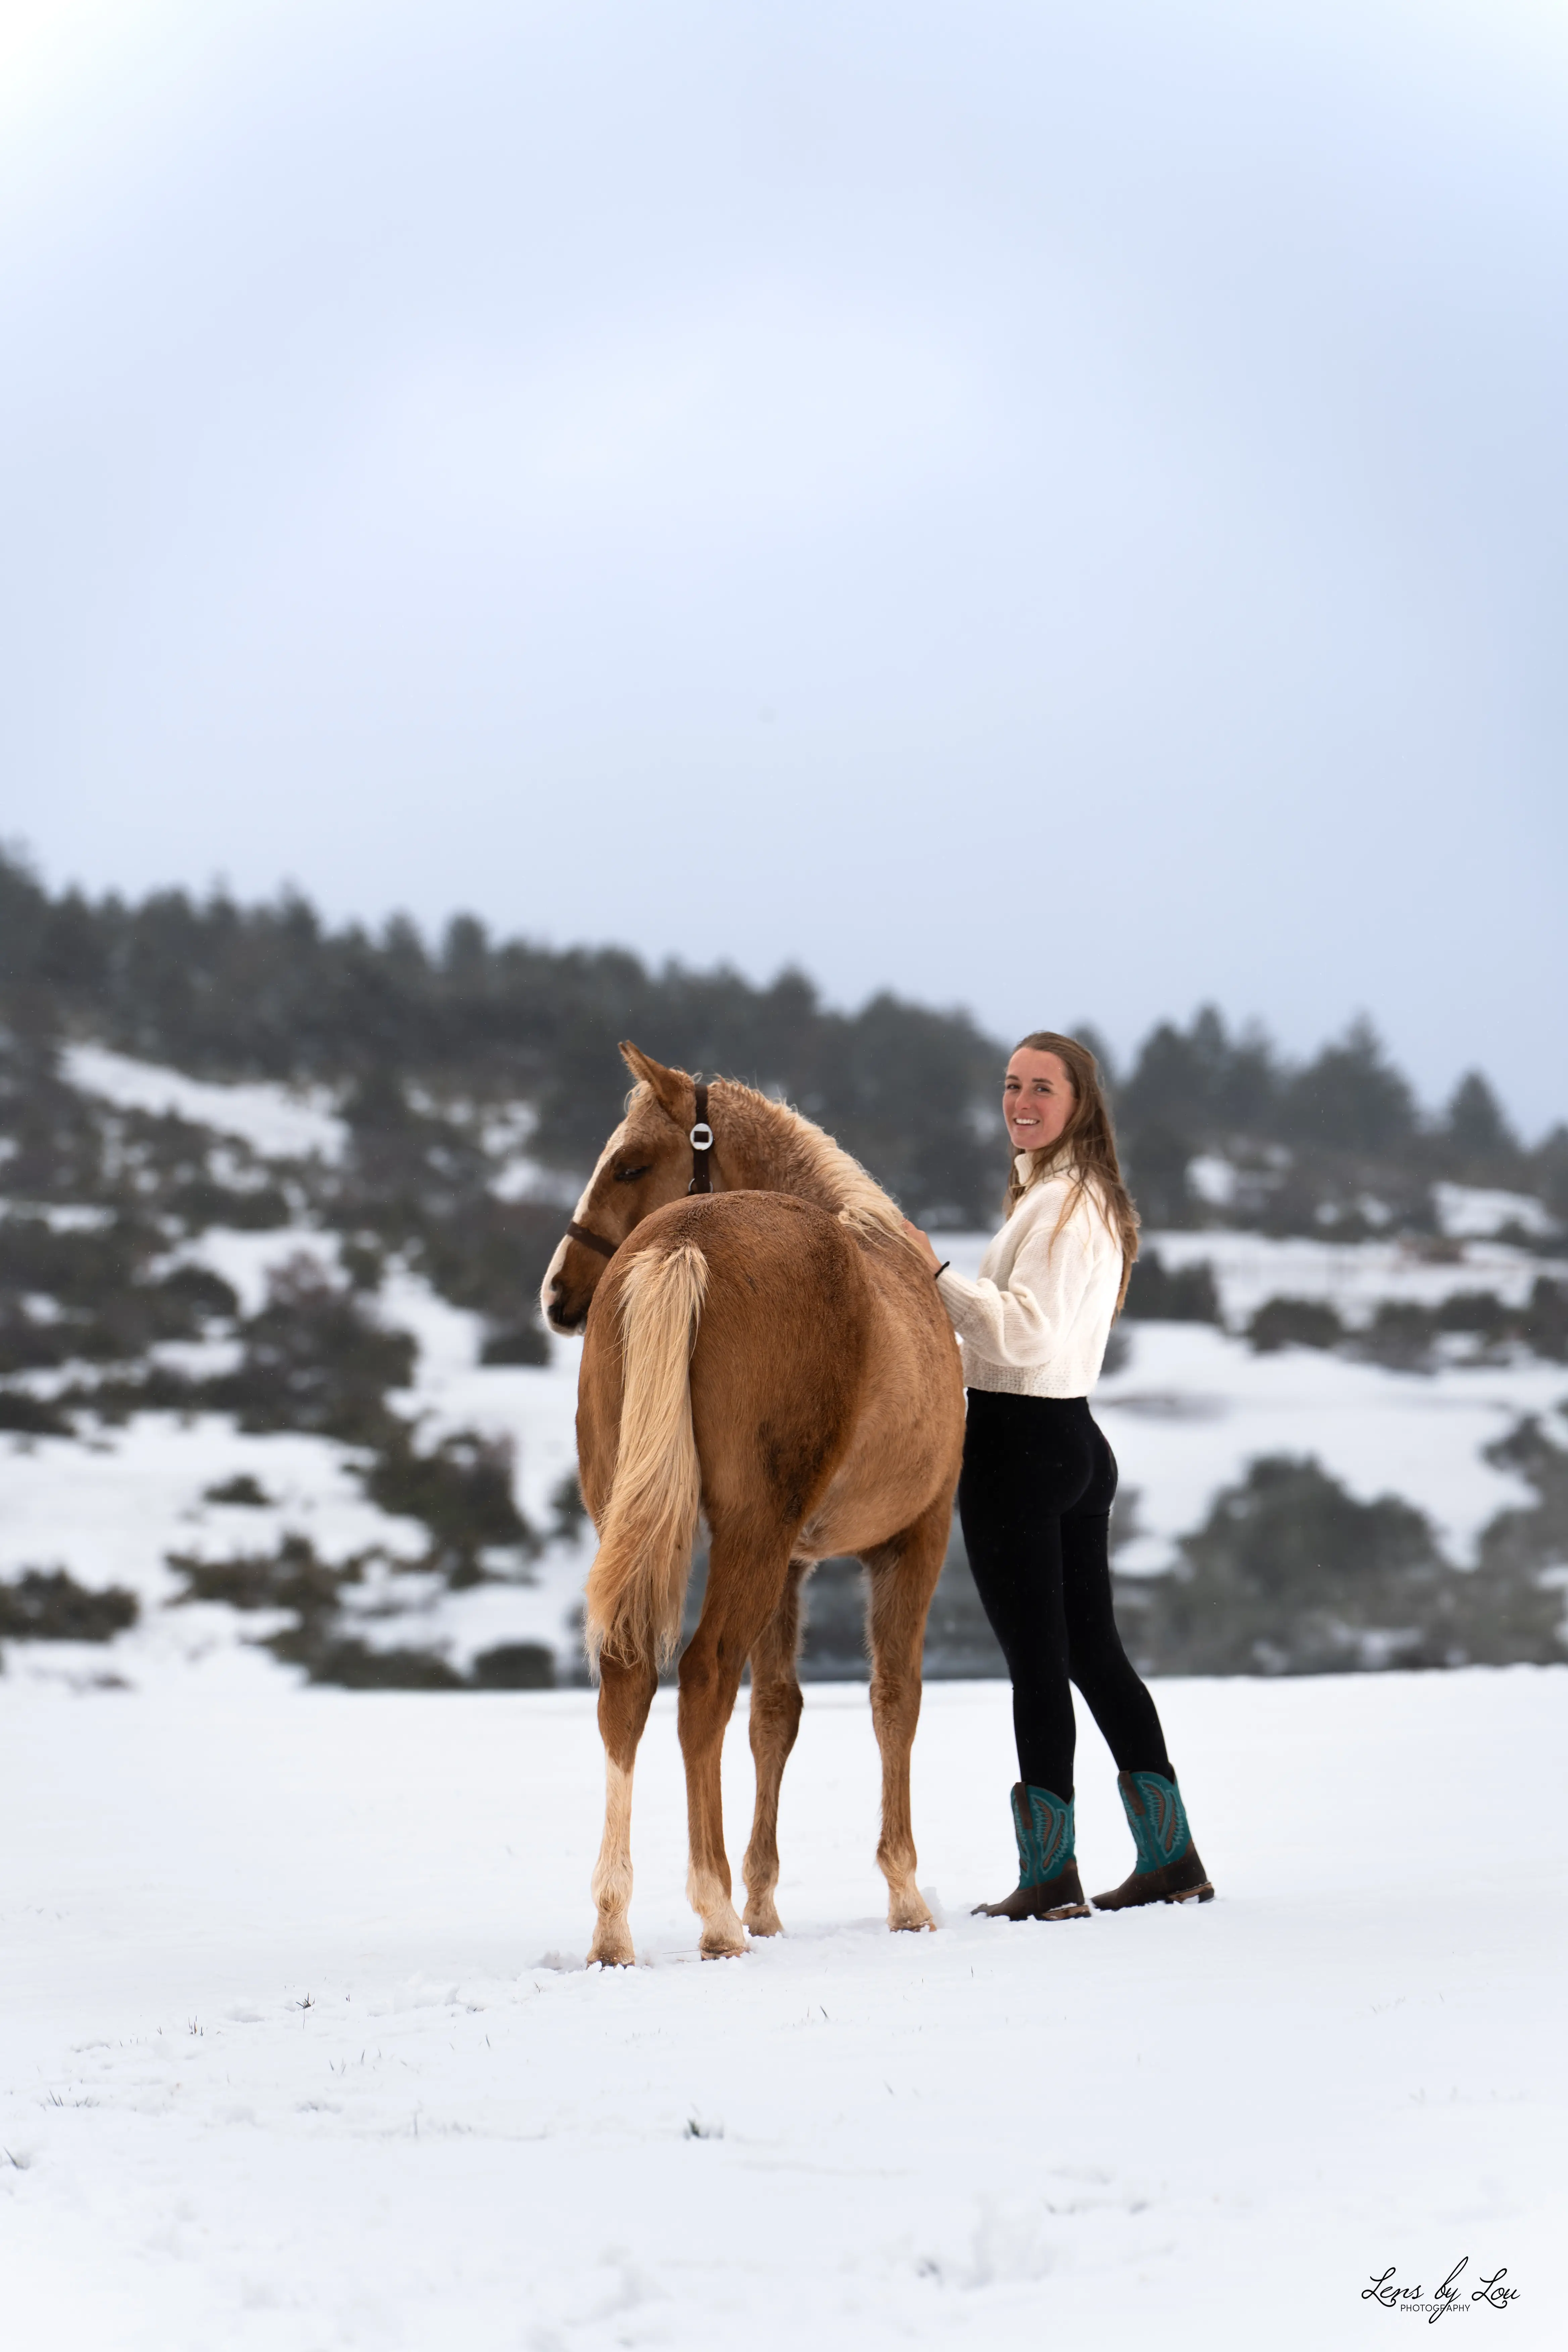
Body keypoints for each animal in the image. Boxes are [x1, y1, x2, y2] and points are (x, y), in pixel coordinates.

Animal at [540, 1043, 965, 1964]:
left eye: (630, 1163)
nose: (556, 1293)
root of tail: (684, 1244)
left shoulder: (795, 1564)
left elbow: (777, 1714)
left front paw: (767, 1899)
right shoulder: (913, 1539)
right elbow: (894, 1699)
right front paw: (905, 1894)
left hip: (678, 1530)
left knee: (629, 1679)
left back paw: (615, 1923)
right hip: (751, 1536)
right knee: (703, 1677)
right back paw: (714, 1913)